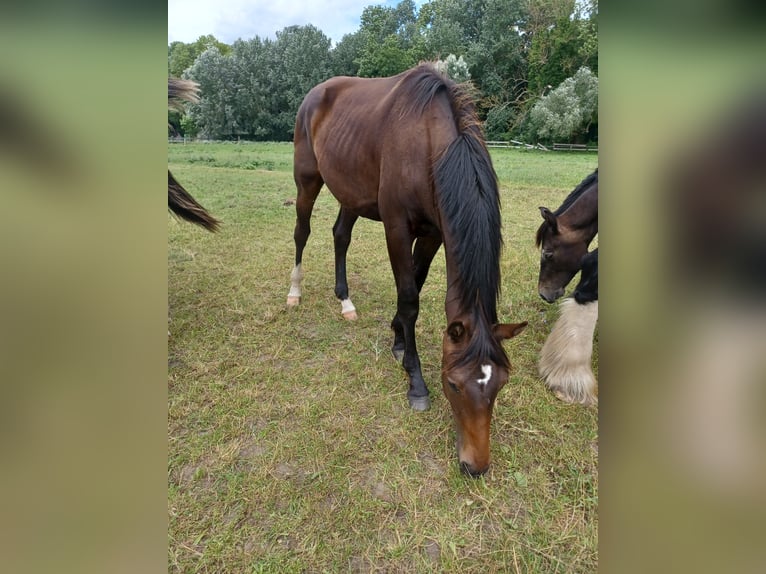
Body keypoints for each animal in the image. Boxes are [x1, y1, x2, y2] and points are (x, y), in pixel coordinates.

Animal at [286, 62, 528, 476]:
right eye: (453, 384)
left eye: (501, 384)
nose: (475, 466)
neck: (428, 143)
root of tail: (315, 93)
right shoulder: (397, 228)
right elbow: (410, 297)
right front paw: (415, 380)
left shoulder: (434, 233)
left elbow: (415, 281)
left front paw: (398, 338)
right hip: (308, 180)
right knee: (303, 232)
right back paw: (295, 291)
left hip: (349, 190)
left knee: (340, 236)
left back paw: (345, 301)